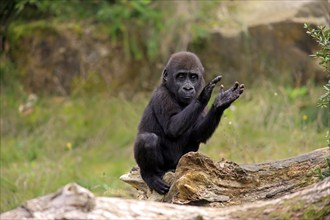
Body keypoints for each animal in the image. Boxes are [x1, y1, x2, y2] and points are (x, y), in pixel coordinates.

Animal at [134, 51, 245, 194]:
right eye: (181, 77)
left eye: (193, 77)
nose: (188, 88)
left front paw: (220, 103)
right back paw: (149, 175)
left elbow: (198, 134)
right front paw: (203, 95)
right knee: (147, 139)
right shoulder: (161, 95)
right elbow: (172, 127)